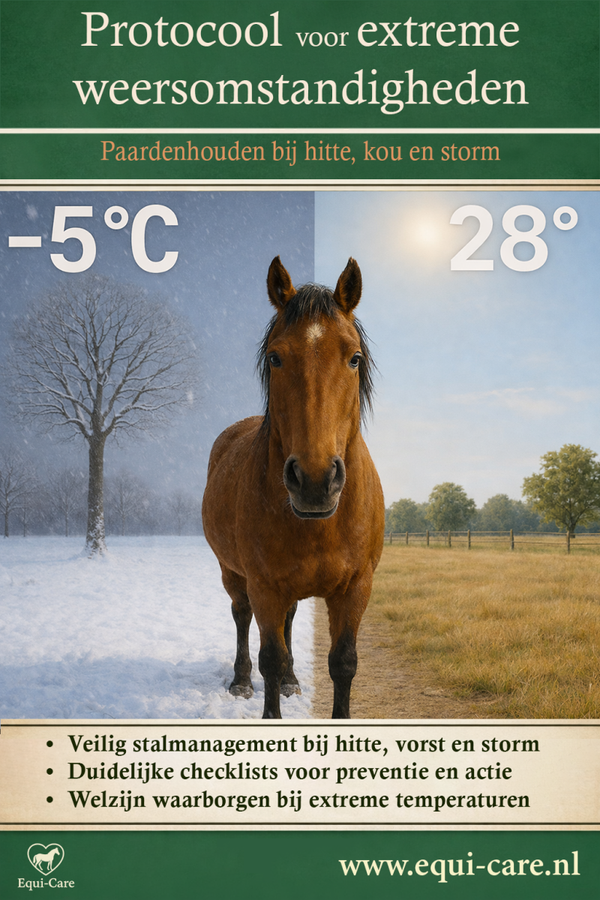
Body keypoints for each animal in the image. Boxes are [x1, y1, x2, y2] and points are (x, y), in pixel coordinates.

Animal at [202, 256, 384, 718]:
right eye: (275, 357)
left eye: (354, 358)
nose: (315, 481)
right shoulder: (264, 585)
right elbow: (269, 655)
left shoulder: (356, 588)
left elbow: (343, 663)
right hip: (233, 573)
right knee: (241, 616)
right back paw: (240, 681)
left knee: (287, 624)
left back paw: (291, 681)